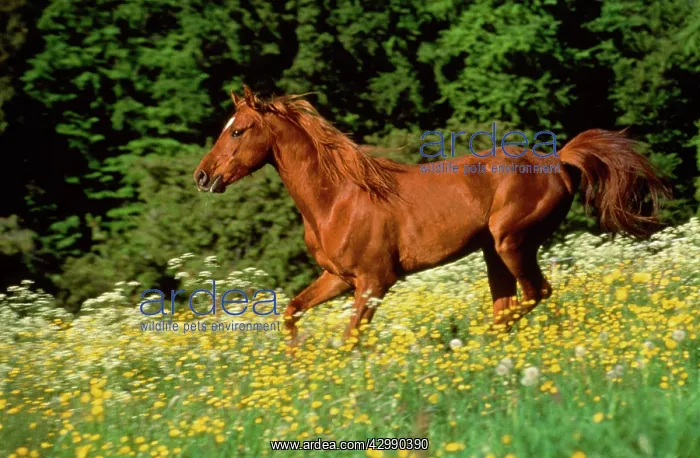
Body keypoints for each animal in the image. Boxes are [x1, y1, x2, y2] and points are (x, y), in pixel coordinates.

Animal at [193, 86, 668, 344]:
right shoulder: (339, 279)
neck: (337, 199)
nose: (203, 176)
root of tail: (559, 160)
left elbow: (350, 339)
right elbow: (292, 311)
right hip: (493, 253)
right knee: (508, 306)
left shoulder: (374, 282)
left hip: (512, 242)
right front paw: (298, 363)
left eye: (238, 131)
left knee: (535, 294)